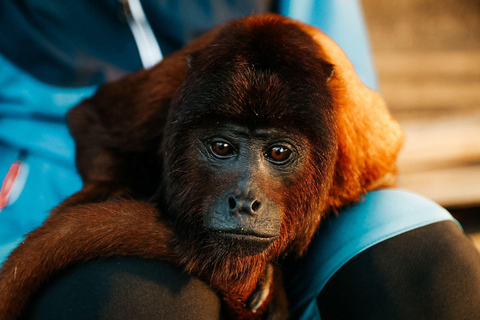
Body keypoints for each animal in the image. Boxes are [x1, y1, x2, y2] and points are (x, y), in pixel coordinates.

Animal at [0, 13, 404, 318]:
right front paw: (112, 190)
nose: (244, 203)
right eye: (222, 147)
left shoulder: (362, 138)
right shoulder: (165, 88)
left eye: (278, 152)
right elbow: (91, 118)